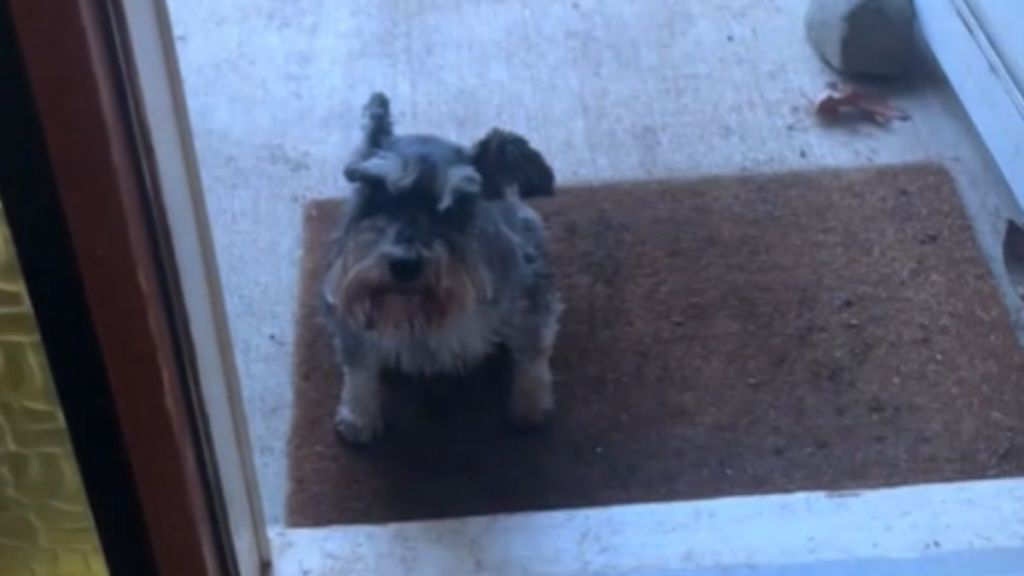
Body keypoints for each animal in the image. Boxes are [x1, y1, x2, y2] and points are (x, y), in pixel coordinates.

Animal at [321, 95, 561, 444]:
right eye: (379, 194)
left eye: (456, 206)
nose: (404, 264)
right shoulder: (350, 316)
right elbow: (358, 368)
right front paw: (358, 419)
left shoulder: (528, 301)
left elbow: (532, 352)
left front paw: (530, 407)